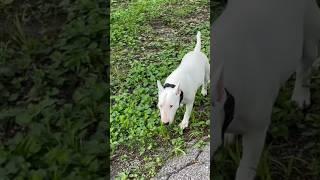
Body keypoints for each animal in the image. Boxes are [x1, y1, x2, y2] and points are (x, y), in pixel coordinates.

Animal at [210, 0, 320, 179]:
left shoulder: (256, 131)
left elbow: (246, 168)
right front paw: (229, 136)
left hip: (309, 29)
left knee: (305, 65)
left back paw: (301, 95)